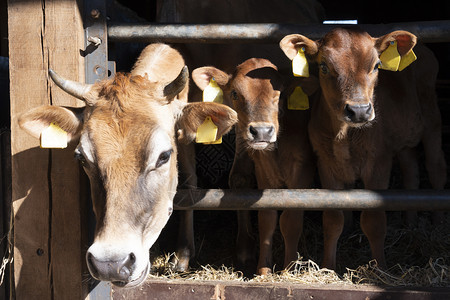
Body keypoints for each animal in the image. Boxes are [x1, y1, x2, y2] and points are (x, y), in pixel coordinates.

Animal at [192, 57, 316, 276]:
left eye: (280, 94)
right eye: (234, 93)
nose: (262, 132)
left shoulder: (302, 174)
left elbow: (290, 221)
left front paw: (288, 270)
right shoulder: (264, 171)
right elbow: (266, 218)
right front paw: (263, 271)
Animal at [282, 28, 446, 270]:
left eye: (377, 65)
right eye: (323, 66)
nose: (359, 110)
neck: (344, 134)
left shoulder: (379, 162)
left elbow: (374, 222)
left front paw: (379, 269)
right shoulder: (326, 163)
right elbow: (333, 219)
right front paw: (329, 266)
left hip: (433, 121)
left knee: (435, 169)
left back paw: (437, 223)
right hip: (403, 140)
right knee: (411, 173)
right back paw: (411, 223)